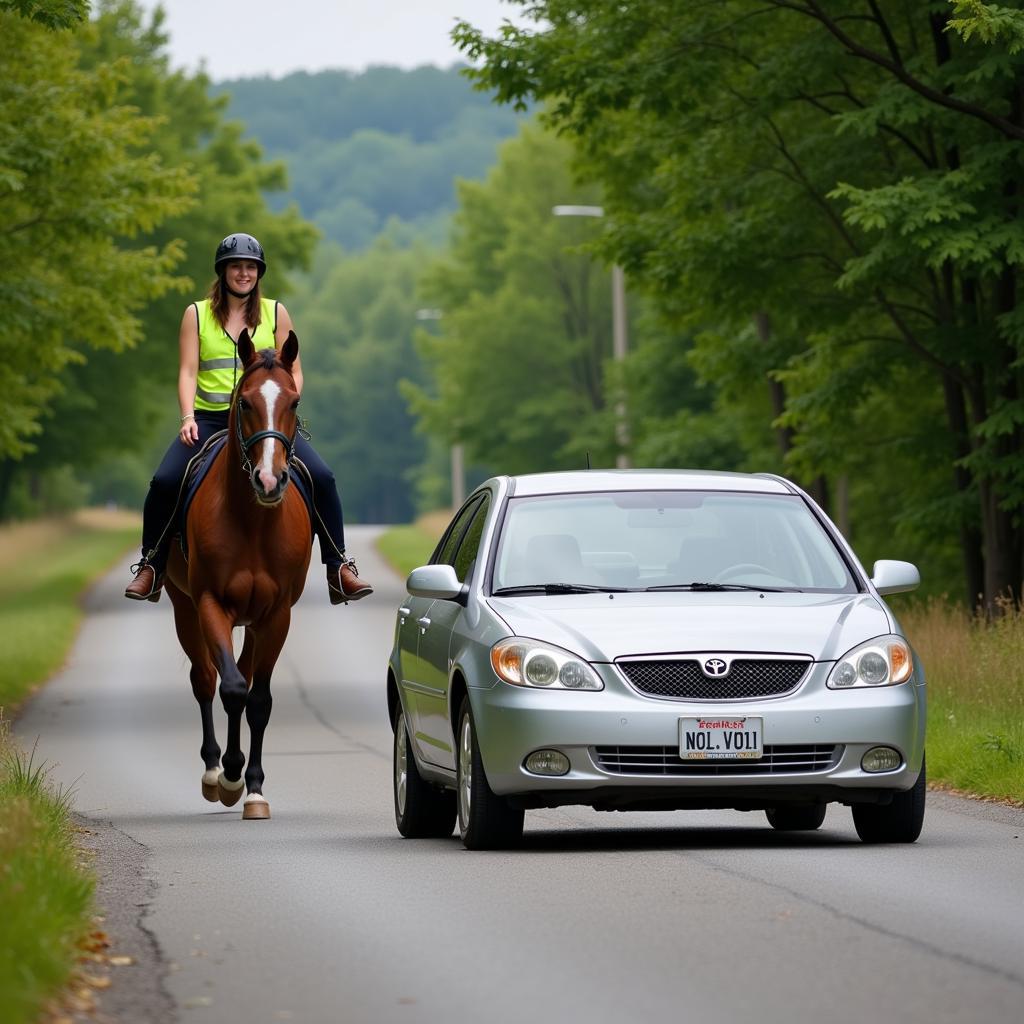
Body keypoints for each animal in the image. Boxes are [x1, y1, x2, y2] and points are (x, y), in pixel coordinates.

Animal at [164, 331, 311, 819]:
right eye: (244, 402)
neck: (252, 520)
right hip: (183, 607)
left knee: (244, 680)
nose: (269, 480)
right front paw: (229, 775)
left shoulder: (277, 614)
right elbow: (229, 689)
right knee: (206, 679)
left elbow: (258, 699)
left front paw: (255, 788)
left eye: (294, 401)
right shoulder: (212, 604)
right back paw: (214, 771)